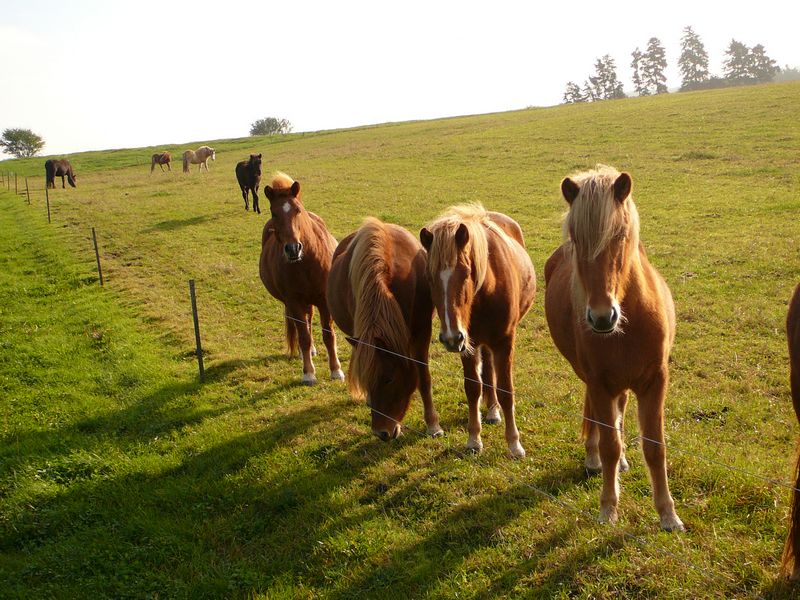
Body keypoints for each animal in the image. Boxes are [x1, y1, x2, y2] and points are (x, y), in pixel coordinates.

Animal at [258, 170, 342, 384]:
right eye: (274, 212)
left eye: (297, 210)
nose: (293, 248)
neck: (306, 262)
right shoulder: (294, 302)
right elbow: (303, 336)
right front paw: (308, 373)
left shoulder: (324, 301)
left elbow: (328, 335)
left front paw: (336, 370)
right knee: (304, 327)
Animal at [328, 217, 446, 440]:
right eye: (367, 381)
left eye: (389, 380)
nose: (381, 433)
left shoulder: (422, 332)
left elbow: (424, 378)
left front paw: (433, 425)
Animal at [422, 204, 536, 458]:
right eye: (430, 278)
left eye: (466, 273)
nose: (450, 338)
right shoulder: (468, 344)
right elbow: (473, 387)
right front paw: (474, 439)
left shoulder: (504, 342)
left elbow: (506, 391)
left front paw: (514, 444)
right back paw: (492, 411)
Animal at [548, 165, 684, 528]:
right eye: (576, 240)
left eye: (620, 235)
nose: (601, 317)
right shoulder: (598, 382)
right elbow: (609, 442)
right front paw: (608, 507)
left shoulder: (655, 381)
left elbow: (655, 446)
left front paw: (668, 514)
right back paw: (594, 459)